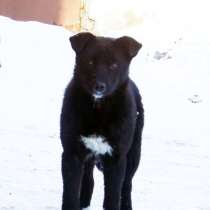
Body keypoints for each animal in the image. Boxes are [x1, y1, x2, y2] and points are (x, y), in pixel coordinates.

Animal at [60, 32, 144, 210]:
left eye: (114, 65)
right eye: (90, 62)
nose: (99, 87)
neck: (98, 110)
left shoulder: (117, 159)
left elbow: (113, 196)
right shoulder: (72, 153)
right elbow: (70, 193)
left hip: (134, 154)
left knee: (127, 185)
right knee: (88, 178)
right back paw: (84, 202)